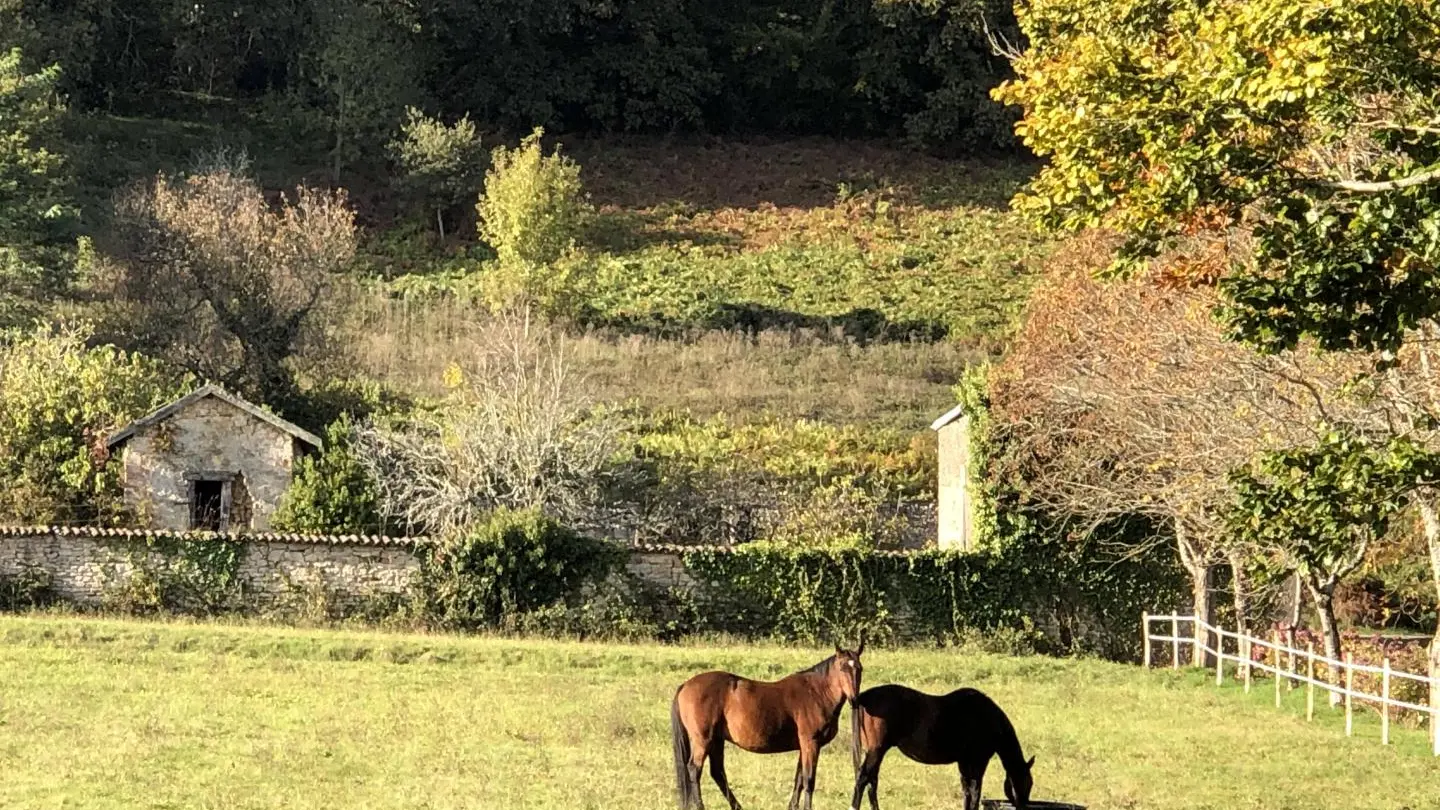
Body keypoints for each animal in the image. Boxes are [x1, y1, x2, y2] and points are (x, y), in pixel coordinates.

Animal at [665, 639, 858, 807]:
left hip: (716, 740)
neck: (816, 692)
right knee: (694, 769)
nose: (854, 700)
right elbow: (808, 780)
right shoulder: (811, 743)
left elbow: (799, 780)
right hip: (703, 740)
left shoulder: (804, 746)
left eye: (859, 668)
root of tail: (685, 685)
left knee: (717, 772)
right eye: (842, 668)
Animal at [840, 680, 1036, 807]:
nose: (1024, 804)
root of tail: (862, 698)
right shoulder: (978, 761)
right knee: (863, 779)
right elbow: (975, 792)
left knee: (871, 782)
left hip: (875, 752)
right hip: (876, 750)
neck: (988, 719)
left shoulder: (965, 762)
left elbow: (967, 791)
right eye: (1028, 782)